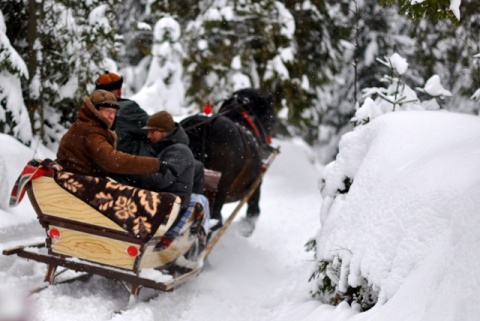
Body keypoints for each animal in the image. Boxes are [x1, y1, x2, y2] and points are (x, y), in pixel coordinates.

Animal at [180, 87, 276, 235]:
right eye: (271, 120)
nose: (269, 144)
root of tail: (204, 126)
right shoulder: (255, 185)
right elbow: (254, 210)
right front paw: (246, 228)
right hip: (217, 191)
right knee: (214, 221)